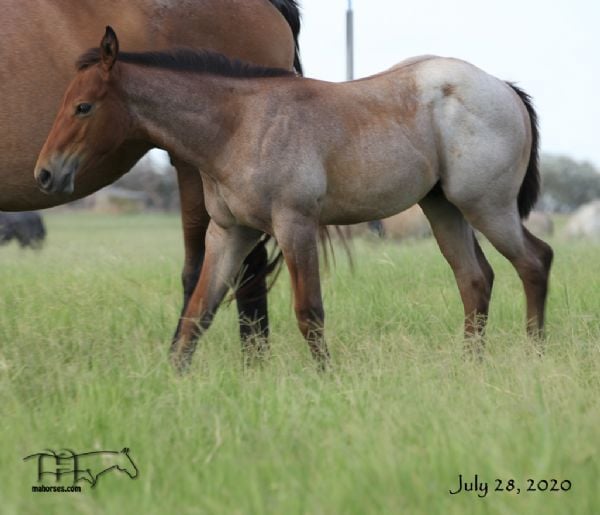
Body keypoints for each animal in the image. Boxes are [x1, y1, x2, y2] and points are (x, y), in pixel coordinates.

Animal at [34, 29, 552, 370]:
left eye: (83, 106)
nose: (45, 173)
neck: (240, 126)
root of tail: (504, 88)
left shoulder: (295, 224)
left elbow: (310, 314)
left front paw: (328, 381)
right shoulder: (231, 232)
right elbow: (196, 314)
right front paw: (170, 384)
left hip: (487, 206)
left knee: (535, 260)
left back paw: (534, 356)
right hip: (442, 208)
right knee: (475, 279)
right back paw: (472, 367)